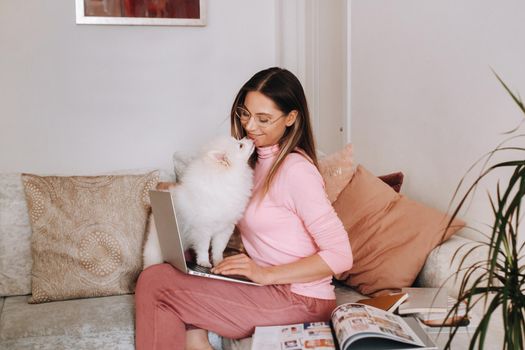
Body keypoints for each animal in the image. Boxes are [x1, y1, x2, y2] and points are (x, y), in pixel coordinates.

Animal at [143, 137, 254, 268]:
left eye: (240, 141)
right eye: (241, 145)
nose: (250, 139)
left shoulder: (224, 228)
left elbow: (218, 248)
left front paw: (219, 262)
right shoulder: (202, 229)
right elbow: (203, 247)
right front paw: (204, 261)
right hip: (155, 248)